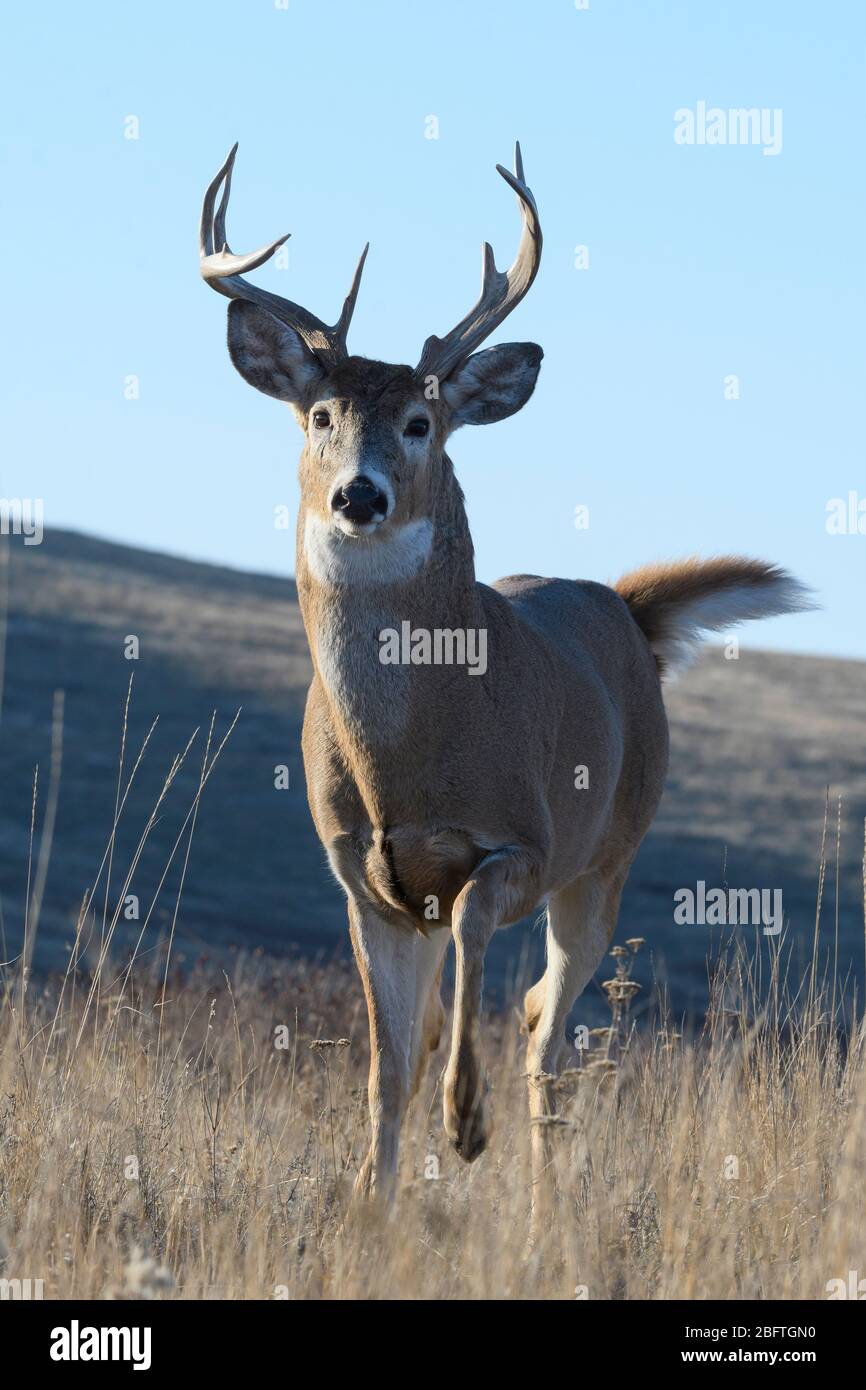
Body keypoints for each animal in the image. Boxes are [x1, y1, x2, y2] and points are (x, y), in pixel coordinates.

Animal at [199, 143, 811, 1211]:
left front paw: (467, 1121)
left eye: (420, 421)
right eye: (319, 414)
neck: (404, 763)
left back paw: (537, 1204)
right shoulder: (362, 879)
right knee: (512, 1015)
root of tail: (626, 605)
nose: (360, 495)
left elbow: (477, 932)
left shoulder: (521, 843)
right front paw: (370, 1203)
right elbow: (387, 1063)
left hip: (607, 858)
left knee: (546, 1031)